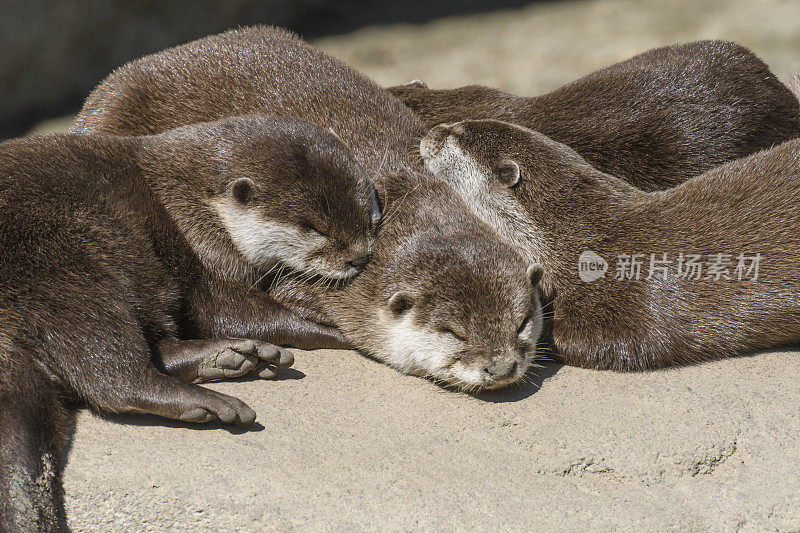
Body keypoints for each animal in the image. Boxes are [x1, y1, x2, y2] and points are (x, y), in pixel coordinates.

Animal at [0, 114, 378, 528]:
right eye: (315, 228)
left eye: (370, 216)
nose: (359, 258)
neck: (185, 194)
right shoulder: (198, 246)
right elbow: (229, 311)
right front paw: (332, 330)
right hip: (70, 267)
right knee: (111, 373)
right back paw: (212, 400)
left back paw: (231, 359)